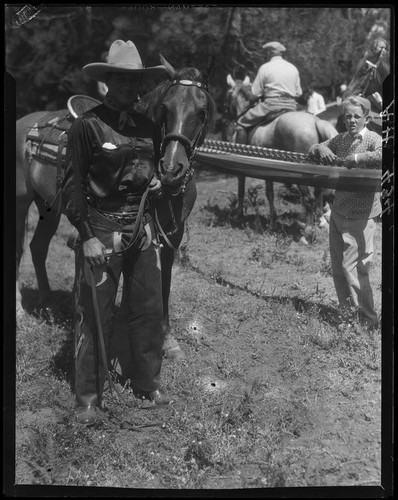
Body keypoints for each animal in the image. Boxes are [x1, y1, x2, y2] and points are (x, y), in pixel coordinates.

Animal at [15, 54, 216, 362]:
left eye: (202, 111)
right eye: (165, 108)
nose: (170, 169)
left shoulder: (171, 234)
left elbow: (164, 282)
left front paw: (167, 341)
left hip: (48, 208)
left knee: (38, 246)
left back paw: (48, 303)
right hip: (19, 202)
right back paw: (18, 311)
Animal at [225, 74, 338, 238]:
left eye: (228, 94)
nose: (226, 112)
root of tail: (316, 122)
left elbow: (247, 190)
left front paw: (241, 214)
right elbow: (269, 193)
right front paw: (273, 222)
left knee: (309, 199)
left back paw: (308, 231)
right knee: (319, 194)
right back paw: (321, 222)